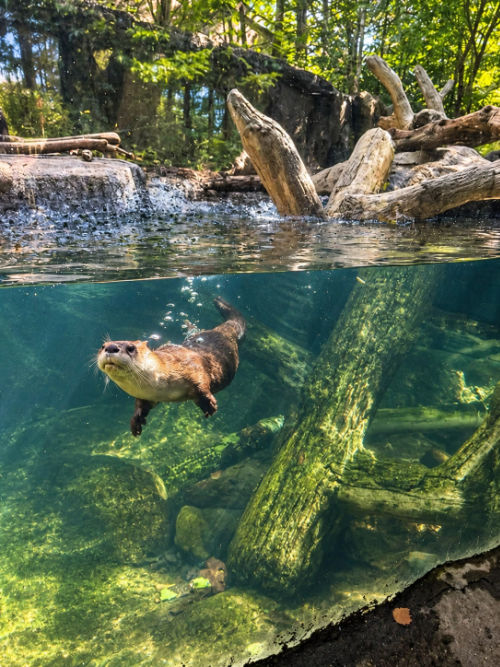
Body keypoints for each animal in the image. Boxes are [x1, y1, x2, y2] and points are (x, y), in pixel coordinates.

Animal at [97, 297, 246, 436]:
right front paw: (136, 421)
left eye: (130, 348)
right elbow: (141, 404)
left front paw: (209, 404)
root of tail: (228, 327)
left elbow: (202, 381)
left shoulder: (191, 365)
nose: (110, 347)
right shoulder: (148, 396)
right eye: (102, 346)